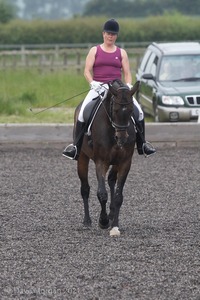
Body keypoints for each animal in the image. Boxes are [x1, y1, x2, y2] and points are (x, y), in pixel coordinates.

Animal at [73, 79, 139, 237]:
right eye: (115, 110)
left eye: (131, 110)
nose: (121, 138)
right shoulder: (101, 162)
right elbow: (102, 194)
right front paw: (103, 221)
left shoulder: (125, 162)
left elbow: (118, 196)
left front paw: (114, 225)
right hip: (82, 158)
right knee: (85, 188)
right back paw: (87, 221)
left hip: (114, 162)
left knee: (111, 180)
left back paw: (111, 214)